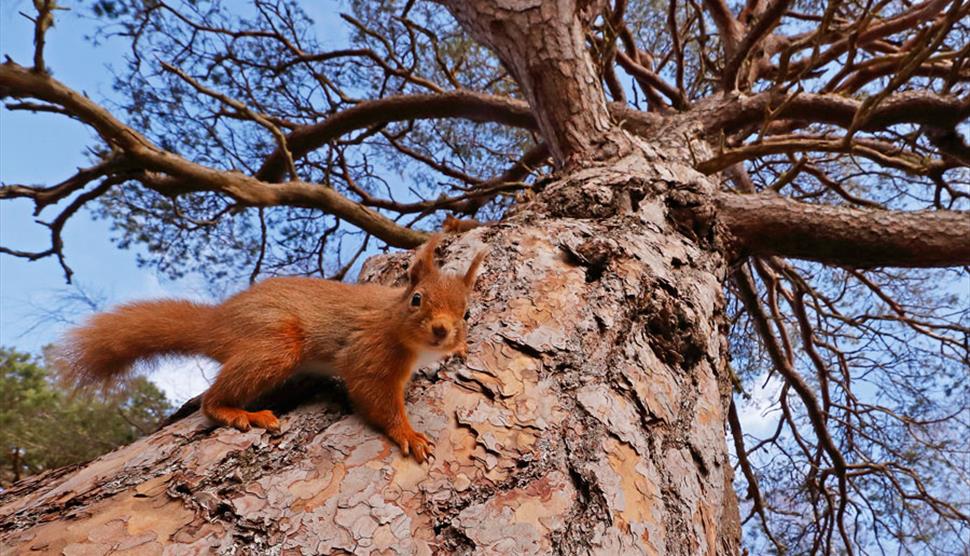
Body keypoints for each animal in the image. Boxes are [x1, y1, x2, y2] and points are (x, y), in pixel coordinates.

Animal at [58, 237, 482, 462]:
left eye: (466, 312)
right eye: (416, 299)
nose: (443, 330)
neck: (394, 320)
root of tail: (221, 322)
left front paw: (459, 349)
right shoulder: (370, 353)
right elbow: (374, 397)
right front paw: (408, 434)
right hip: (274, 343)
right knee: (211, 400)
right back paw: (237, 412)